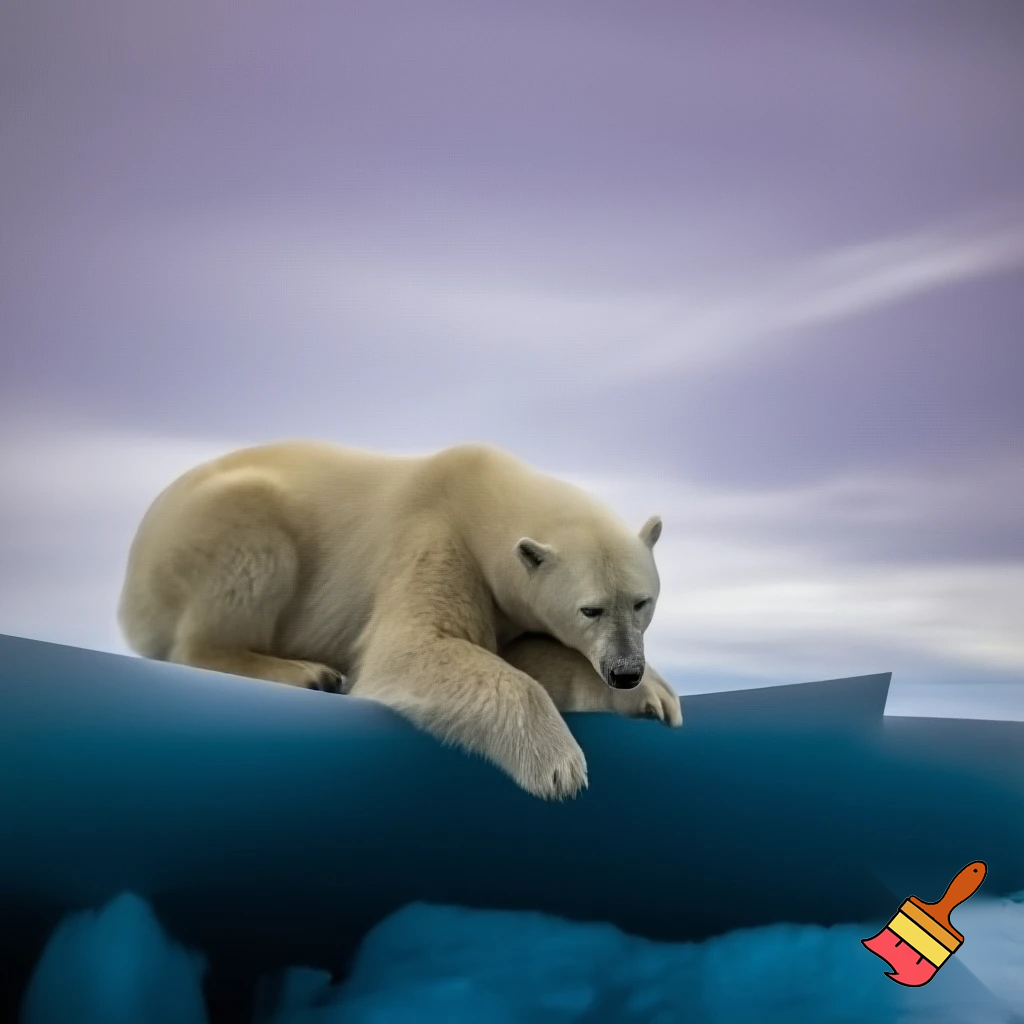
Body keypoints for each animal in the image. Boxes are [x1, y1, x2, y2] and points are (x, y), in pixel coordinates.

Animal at [118, 440, 682, 800]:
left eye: (641, 602)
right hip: (214, 527)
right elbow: (417, 645)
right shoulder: (434, 535)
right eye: (591, 609)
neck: (483, 492)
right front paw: (560, 766)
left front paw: (654, 698)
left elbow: (525, 651)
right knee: (248, 563)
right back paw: (307, 672)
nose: (625, 671)